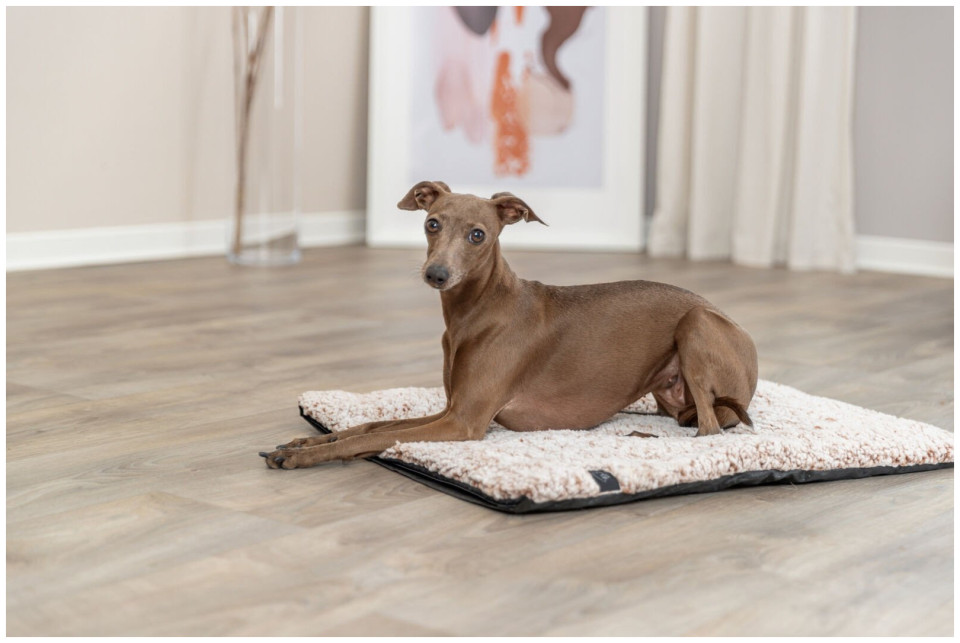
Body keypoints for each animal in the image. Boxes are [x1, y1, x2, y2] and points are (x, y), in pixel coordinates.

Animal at [261, 181, 758, 469]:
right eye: (431, 223)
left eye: (478, 234)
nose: (436, 275)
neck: (478, 309)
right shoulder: (452, 409)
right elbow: (371, 428)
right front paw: (300, 444)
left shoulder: (464, 422)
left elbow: (381, 437)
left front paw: (304, 456)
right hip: (669, 392)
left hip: (696, 323)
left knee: (709, 432)